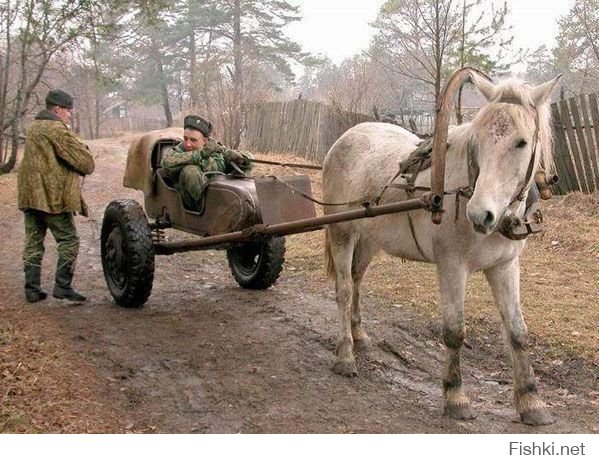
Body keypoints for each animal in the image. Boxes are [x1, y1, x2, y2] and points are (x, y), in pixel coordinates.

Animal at [324, 72, 564, 424]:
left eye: (521, 142)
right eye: (478, 140)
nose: (480, 214)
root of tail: (346, 138)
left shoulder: (505, 266)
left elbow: (518, 332)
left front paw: (531, 401)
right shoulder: (452, 266)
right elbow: (454, 331)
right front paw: (455, 395)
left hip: (368, 239)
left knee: (356, 281)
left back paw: (359, 337)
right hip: (341, 231)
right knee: (342, 289)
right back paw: (345, 355)